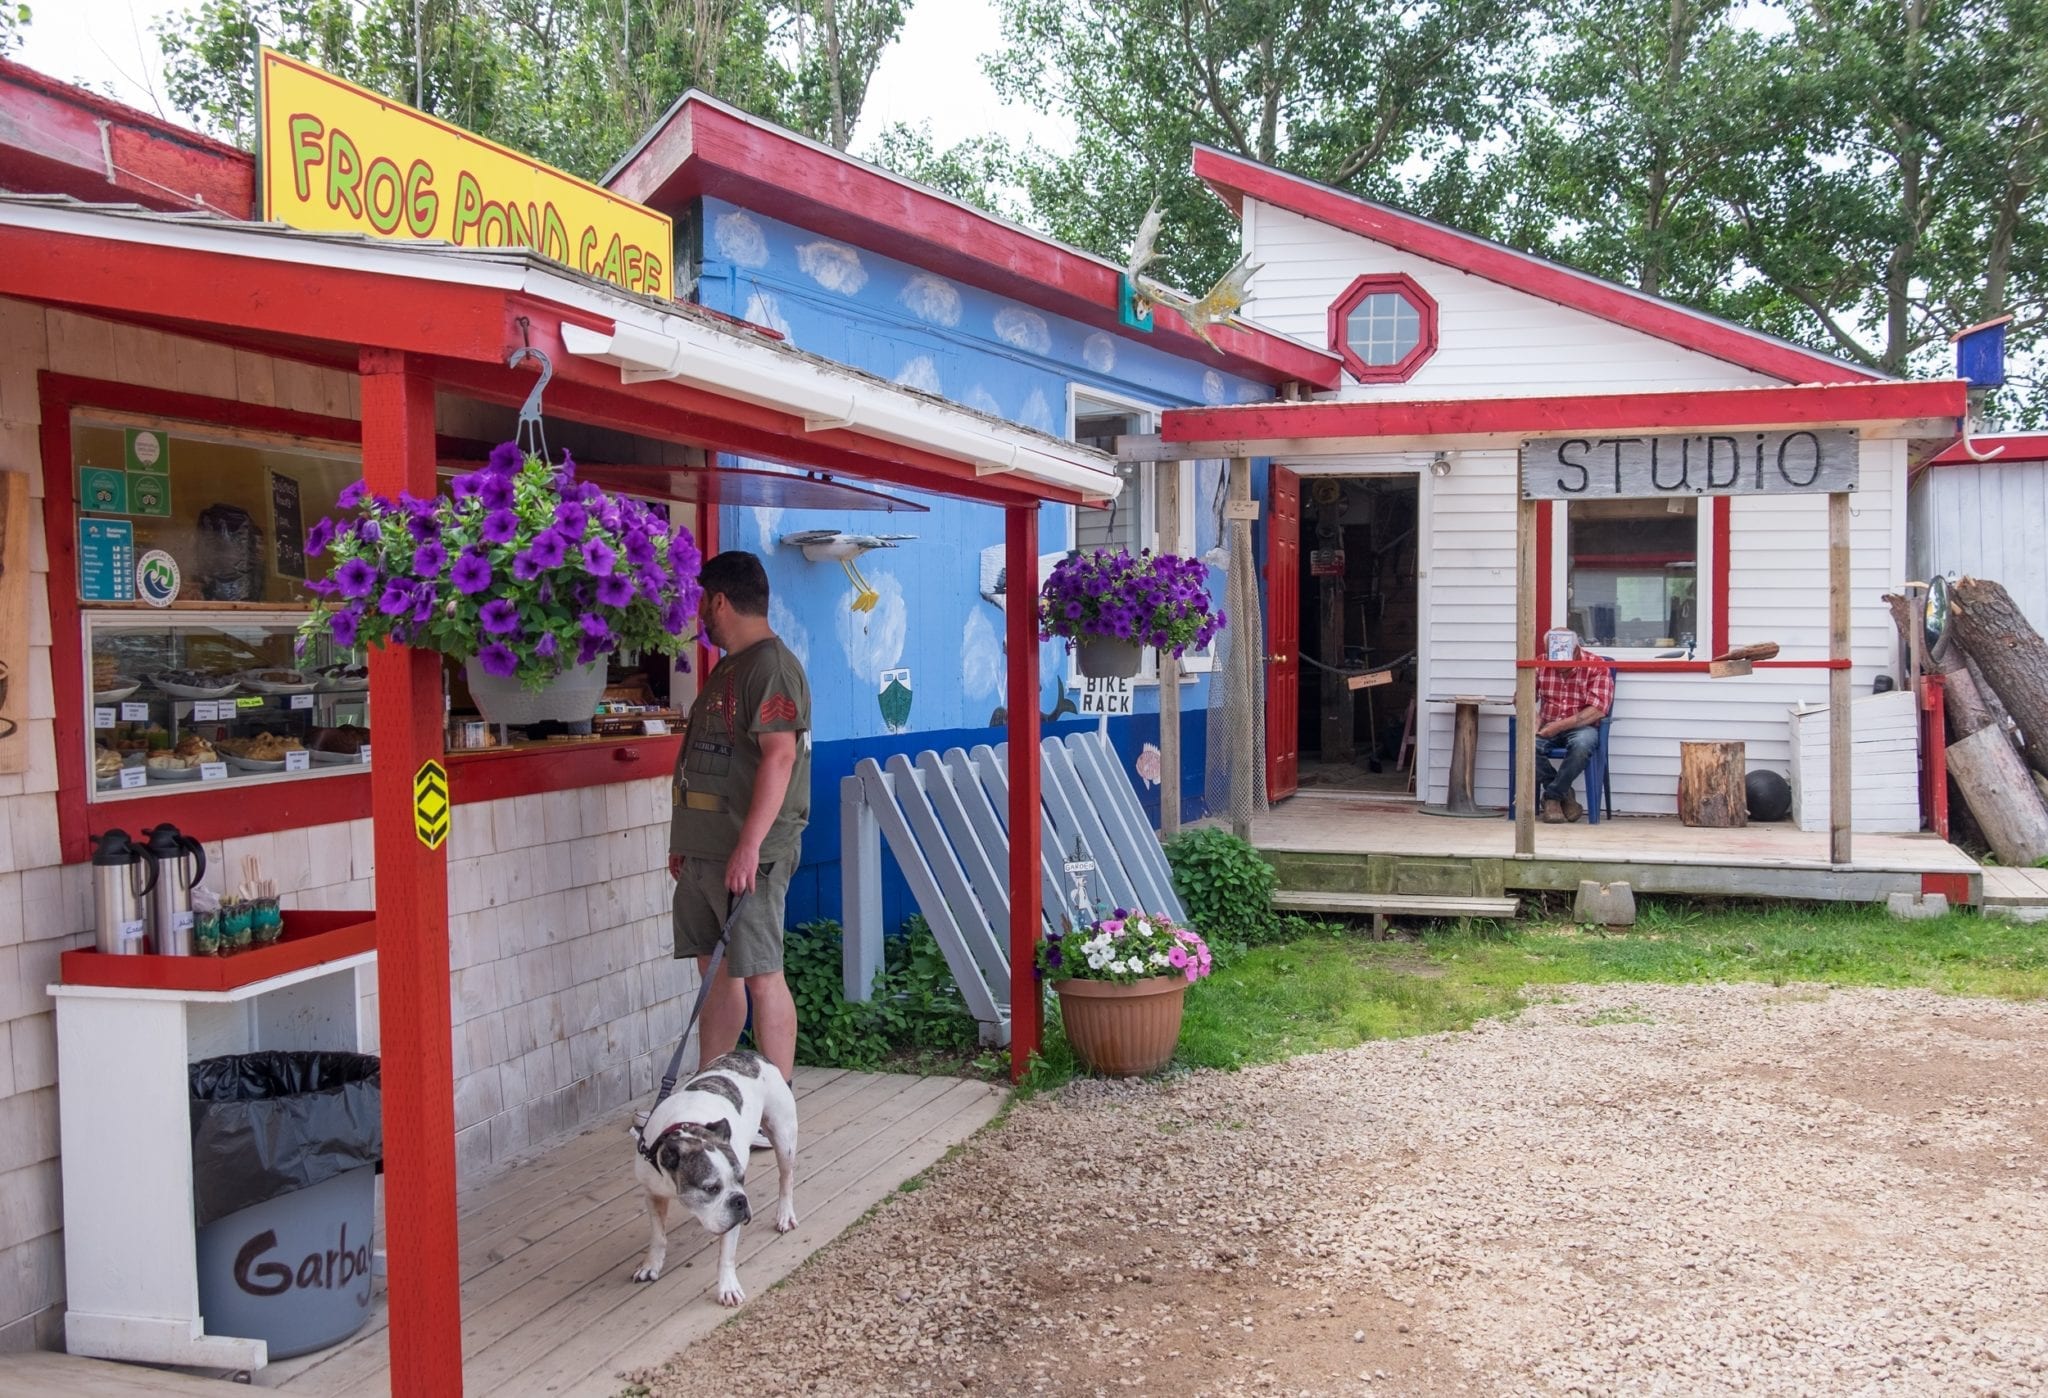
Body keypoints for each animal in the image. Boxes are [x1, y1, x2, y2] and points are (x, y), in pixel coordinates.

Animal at [630, 1056, 798, 1309]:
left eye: (741, 1179)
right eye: (710, 1188)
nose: (741, 1200)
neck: (690, 1132)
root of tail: (752, 1055)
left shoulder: (731, 1220)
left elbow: (726, 1255)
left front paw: (727, 1287)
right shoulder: (653, 1194)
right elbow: (658, 1235)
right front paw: (651, 1265)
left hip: (783, 1136)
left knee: (785, 1178)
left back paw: (785, 1215)